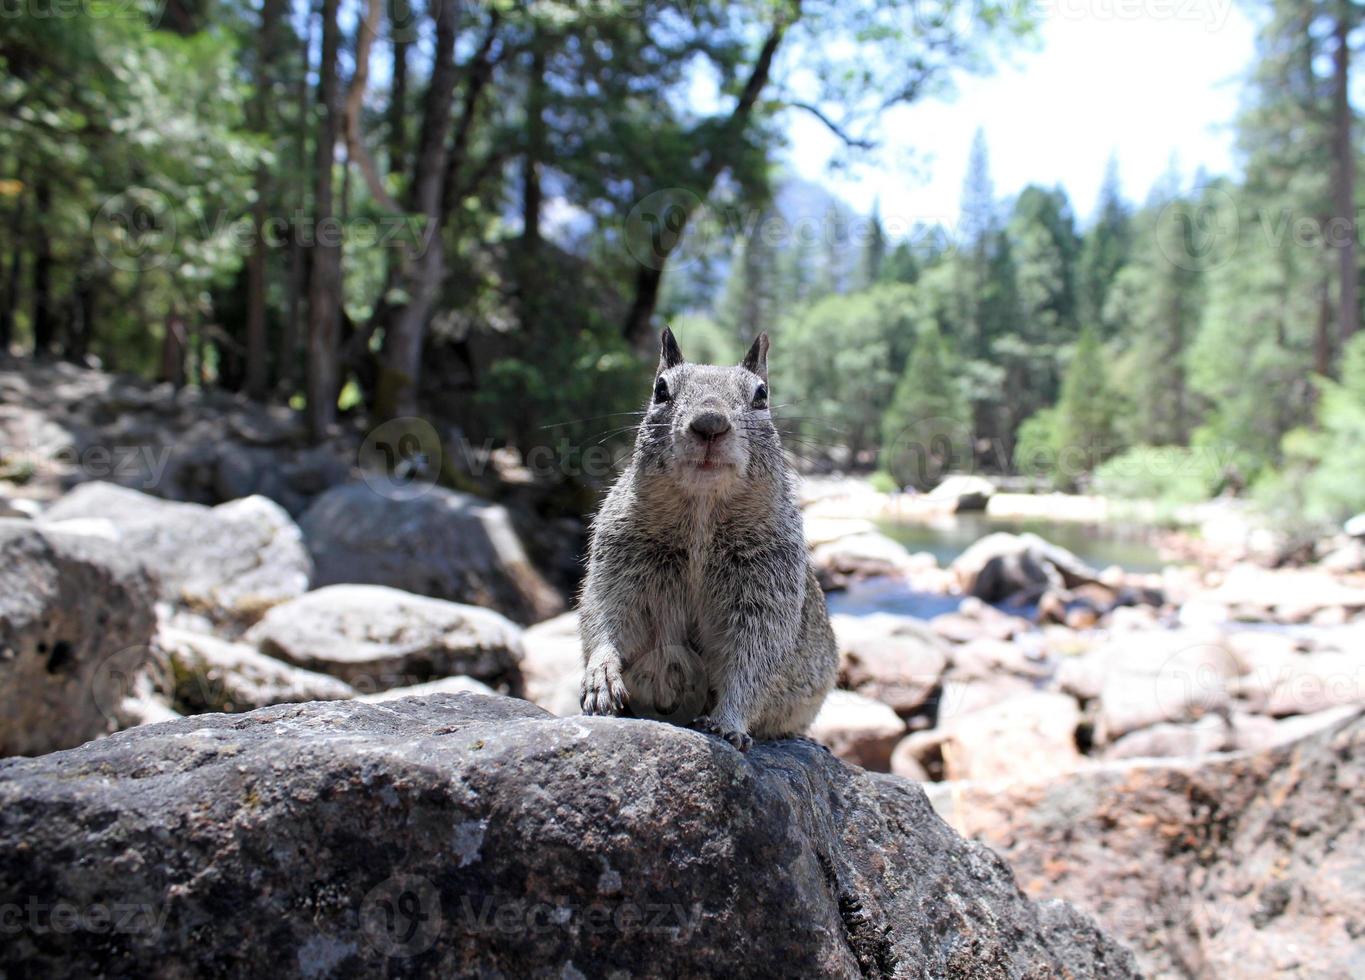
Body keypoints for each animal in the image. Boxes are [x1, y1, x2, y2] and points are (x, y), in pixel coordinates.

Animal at [573, 330, 835, 753]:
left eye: (761, 395)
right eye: (660, 390)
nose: (710, 422)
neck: (701, 512)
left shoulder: (767, 589)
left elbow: (753, 660)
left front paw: (728, 722)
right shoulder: (617, 565)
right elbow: (605, 618)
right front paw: (602, 677)